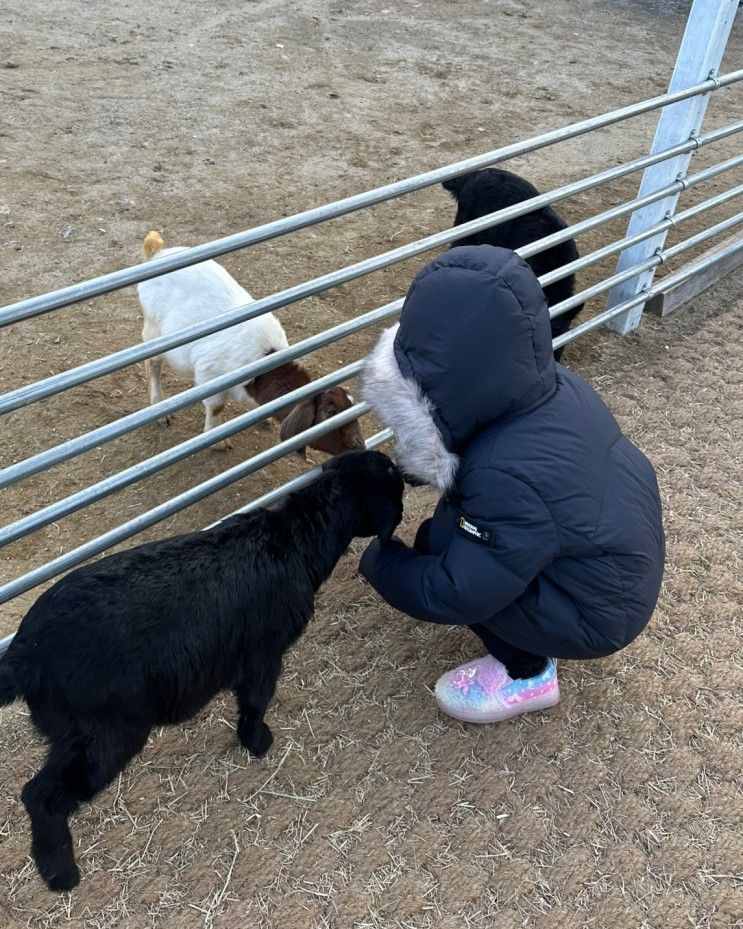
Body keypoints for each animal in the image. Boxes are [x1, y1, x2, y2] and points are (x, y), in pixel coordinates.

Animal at [0, 450, 404, 892]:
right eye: (395, 487)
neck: (294, 540)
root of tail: (22, 657)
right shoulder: (262, 653)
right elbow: (255, 701)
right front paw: (257, 743)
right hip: (103, 731)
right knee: (40, 795)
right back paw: (60, 873)